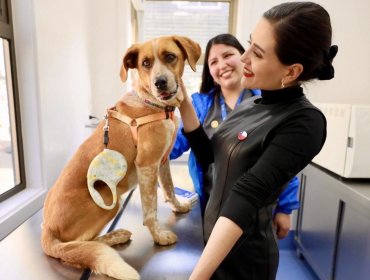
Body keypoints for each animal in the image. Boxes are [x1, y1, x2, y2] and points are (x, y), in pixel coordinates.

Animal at [40, 36, 201, 280]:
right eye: (145, 63)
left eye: (170, 56)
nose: (160, 83)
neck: (152, 102)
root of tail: (47, 229)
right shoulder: (147, 165)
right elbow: (150, 211)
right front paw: (159, 237)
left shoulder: (162, 160)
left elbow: (170, 188)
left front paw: (178, 206)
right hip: (108, 199)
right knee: (80, 247)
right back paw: (115, 237)